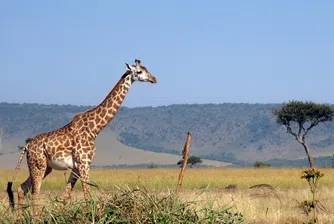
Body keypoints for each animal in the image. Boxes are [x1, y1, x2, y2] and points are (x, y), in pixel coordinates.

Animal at [7, 59, 157, 215]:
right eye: (139, 71)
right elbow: (87, 193)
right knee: (35, 192)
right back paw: (34, 217)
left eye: (147, 69)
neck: (94, 129)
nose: (154, 79)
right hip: (38, 165)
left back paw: (19, 217)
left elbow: (66, 195)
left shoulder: (77, 166)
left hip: (45, 167)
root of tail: (27, 146)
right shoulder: (85, 163)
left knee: (22, 188)